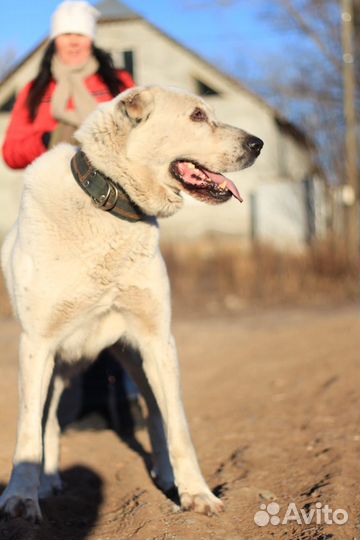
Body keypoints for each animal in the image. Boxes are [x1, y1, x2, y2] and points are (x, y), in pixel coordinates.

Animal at [0, 86, 264, 520]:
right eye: (197, 116)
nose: (258, 144)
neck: (110, 203)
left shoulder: (157, 341)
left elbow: (177, 425)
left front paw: (196, 493)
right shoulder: (37, 344)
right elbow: (27, 430)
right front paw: (21, 496)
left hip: (134, 357)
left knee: (155, 415)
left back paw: (166, 476)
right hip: (58, 362)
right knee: (47, 420)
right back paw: (48, 481)